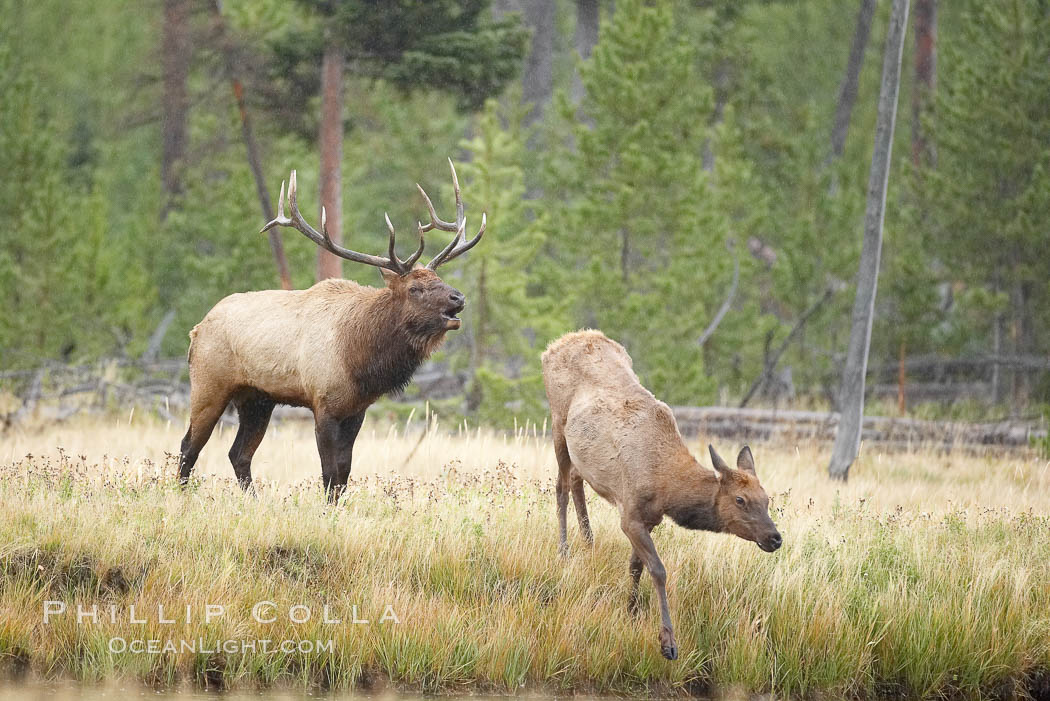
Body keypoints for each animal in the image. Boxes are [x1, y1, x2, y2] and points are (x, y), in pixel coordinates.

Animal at [179, 160, 482, 497]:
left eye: (439, 280)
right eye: (415, 288)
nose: (459, 297)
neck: (360, 359)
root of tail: (197, 329)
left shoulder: (356, 410)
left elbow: (344, 473)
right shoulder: (322, 403)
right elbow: (329, 472)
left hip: (257, 399)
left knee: (238, 453)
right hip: (209, 384)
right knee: (189, 447)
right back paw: (181, 495)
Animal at [541, 329, 781, 659]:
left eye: (767, 500)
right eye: (740, 500)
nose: (775, 537)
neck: (665, 485)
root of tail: (556, 345)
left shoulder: (649, 519)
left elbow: (635, 566)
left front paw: (630, 610)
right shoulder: (630, 516)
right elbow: (658, 569)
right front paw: (667, 640)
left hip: (581, 454)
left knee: (576, 480)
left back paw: (589, 542)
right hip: (558, 424)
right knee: (561, 487)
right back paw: (563, 551)